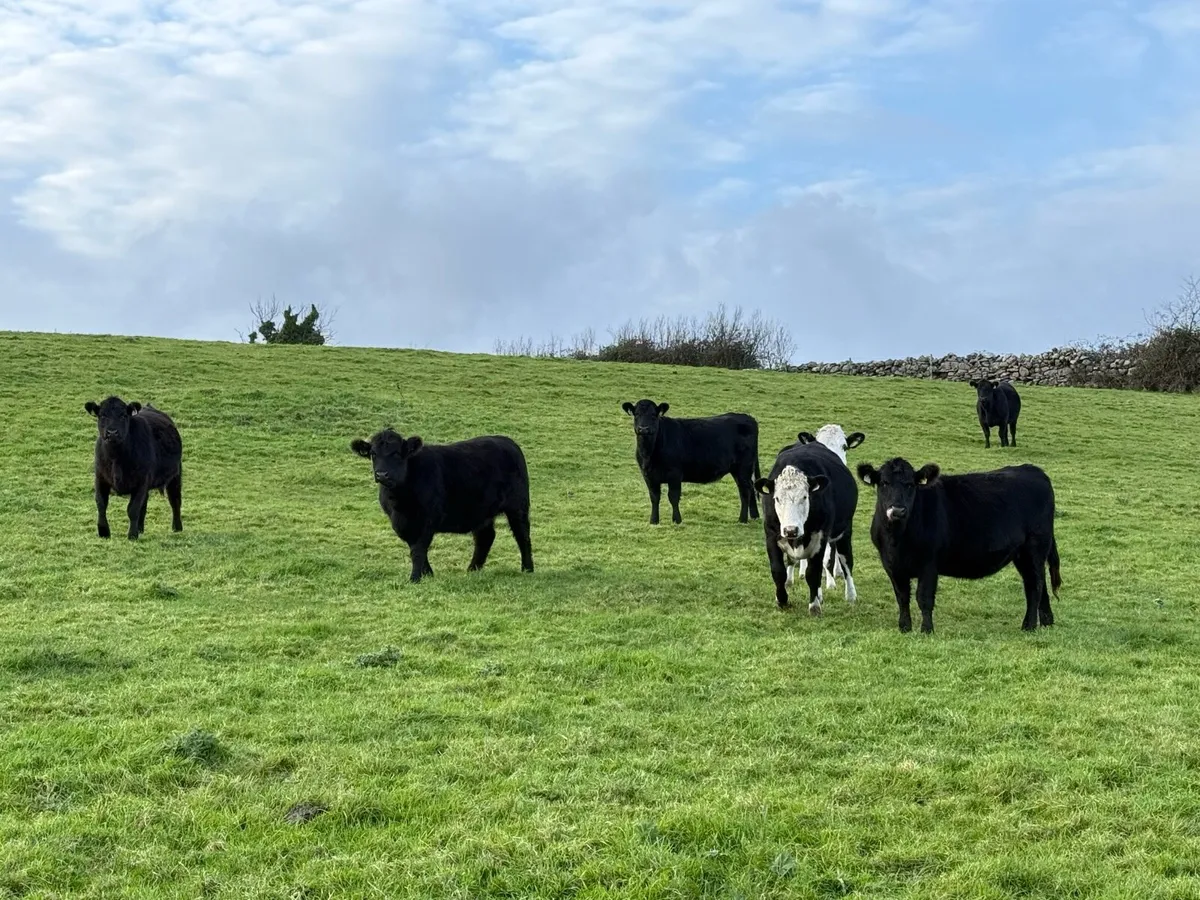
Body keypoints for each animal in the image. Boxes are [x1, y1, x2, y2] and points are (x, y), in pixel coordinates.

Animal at [84, 396, 183, 540]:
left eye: (124, 415)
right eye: (102, 415)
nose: (112, 432)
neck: (116, 458)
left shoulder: (141, 481)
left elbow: (133, 509)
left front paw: (132, 535)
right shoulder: (100, 478)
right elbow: (101, 504)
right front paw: (103, 532)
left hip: (175, 475)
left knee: (175, 500)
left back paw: (177, 527)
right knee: (145, 504)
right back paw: (140, 528)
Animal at [350, 428, 534, 583]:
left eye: (396, 454)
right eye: (373, 454)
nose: (382, 474)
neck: (399, 502)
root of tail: (505, 440)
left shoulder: (427, 519)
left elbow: (418, 549)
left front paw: (415, 578)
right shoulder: (401, 523)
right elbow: (415, 547)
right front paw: (427, 574)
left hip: (518, 506)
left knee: (522, 535)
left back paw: (527, 569)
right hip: (481, 512)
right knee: (485, 537)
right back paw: (473, 569)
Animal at [621, 399, 761, 525]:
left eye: (653, 415)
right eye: (636, 414)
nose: (643, 429)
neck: (649, 454)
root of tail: (748, 417)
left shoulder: (675, 474)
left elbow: (673, 497)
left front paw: (677, 520)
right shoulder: (648, 476)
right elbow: (654, 498)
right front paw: (654, 521)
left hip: (743, 468)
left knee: (745, 490)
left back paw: (742, 519)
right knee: (750, 487)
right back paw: (754, 516)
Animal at [755, 441, 858, 614]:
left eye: (804, 497)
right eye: (777, 498)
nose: (791, 530)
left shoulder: (820, 538)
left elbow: (813, 572)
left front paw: (814, 606)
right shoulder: (771, 535)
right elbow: (778, 570)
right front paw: (782, 600)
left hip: (844, 532)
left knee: (846, 562)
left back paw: (851, 595)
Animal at [856, 457, 1061, 634]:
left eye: (910, 484)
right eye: (884, 483)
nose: (897, 510)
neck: (897, 540)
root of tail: (1033, 470)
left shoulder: (929, 564)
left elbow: (924, 597)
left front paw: (926, 630)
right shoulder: (892, 566)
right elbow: (902, 597)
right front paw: (905, 628)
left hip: (1034, 547)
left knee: (1034, 585)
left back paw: (1029, 625)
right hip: (1024, 554)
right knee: (1039, 583)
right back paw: (1046, 621)